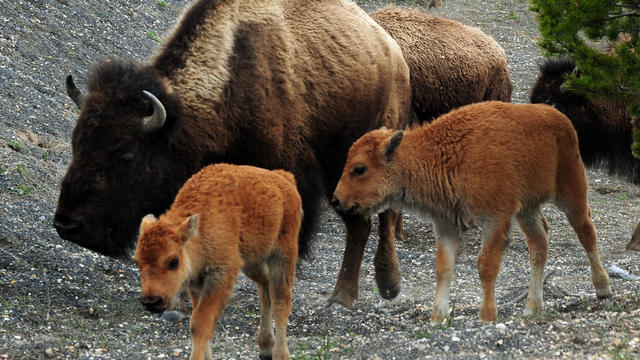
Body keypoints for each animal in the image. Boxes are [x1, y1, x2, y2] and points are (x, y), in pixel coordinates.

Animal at [133, 164, 302, 360]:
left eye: (174, 261)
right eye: (137, 262)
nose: (151, 301)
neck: (200, 229)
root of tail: (284, 178)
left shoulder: (220, 277)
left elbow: (200, 323)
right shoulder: (196, 283)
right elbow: (198, 322)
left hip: (283, 255)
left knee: (281, 301)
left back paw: (280, 353)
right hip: (252, 262)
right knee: (265, 286)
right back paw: (266, 346)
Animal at [332, 102, 612, 324]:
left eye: (359, 168)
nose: (336, 200)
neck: (441, 154)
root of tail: (559, 117)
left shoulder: (494, 221)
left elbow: (485, 266)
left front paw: (487, 316)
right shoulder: (446, 225)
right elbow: (443, 268)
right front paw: (437, 317)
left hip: (571, 192)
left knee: (586, 231)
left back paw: (603, 288)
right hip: (527, 209)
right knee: (539, 243)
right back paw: (532, 307)